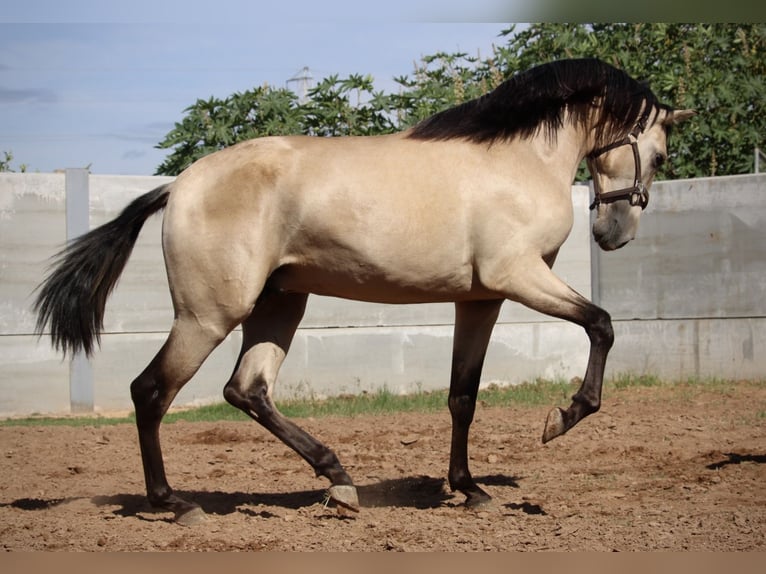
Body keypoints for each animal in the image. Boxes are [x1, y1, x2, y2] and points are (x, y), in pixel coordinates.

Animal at [34, 58, 696, 528]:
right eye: (661, 154)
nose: (613, 234)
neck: (516, 161)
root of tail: (179, 185)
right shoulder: (520, 277)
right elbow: (602, 323)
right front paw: (562, 417)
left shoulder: (481, 298)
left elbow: (462, 395)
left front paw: (470, 488)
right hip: (208, 314)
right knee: (151, 392)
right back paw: (174, 503)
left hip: (278, 304)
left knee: (247, 389)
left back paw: (339, 479)